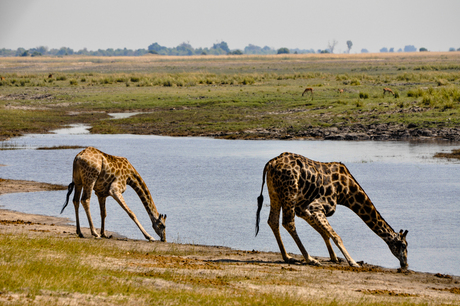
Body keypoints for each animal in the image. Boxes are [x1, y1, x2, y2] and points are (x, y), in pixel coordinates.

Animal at [255, 152, 410, 268]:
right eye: (403, 245)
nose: (405, 264)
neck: (346, 192)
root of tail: (271, 163)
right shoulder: (316, 207)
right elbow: (336, 236)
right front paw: (353, 262)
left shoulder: (303, 208)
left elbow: (325, 233)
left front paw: (335, 258)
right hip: (289, 192)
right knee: (288, 223)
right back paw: (310, 259)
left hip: (275, 193)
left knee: (273, 221)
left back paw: (287, 257)